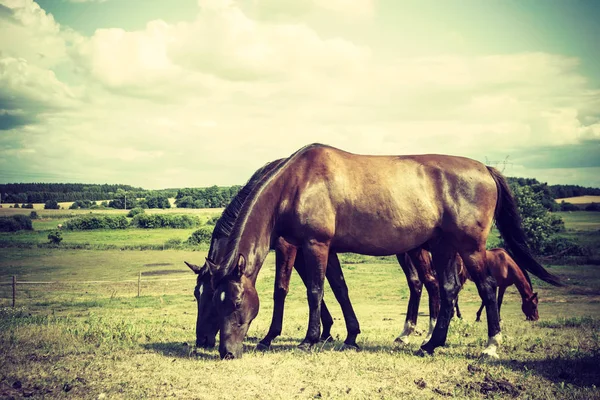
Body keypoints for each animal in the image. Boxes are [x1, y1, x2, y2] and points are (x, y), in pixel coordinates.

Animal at [209, 144, 560, 360]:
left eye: (236, 301)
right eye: (213, 299)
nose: (225, 351)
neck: (297, 182)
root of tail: (486, 169)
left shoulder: (314, 245)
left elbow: (314, 290)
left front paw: (310, 339)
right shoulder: (322, 248)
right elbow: (337, 288)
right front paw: (346, 336)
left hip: (470, 249)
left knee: (485, 289)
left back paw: (490, 346)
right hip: (444, 248)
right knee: (446, 290)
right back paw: (430, 344)